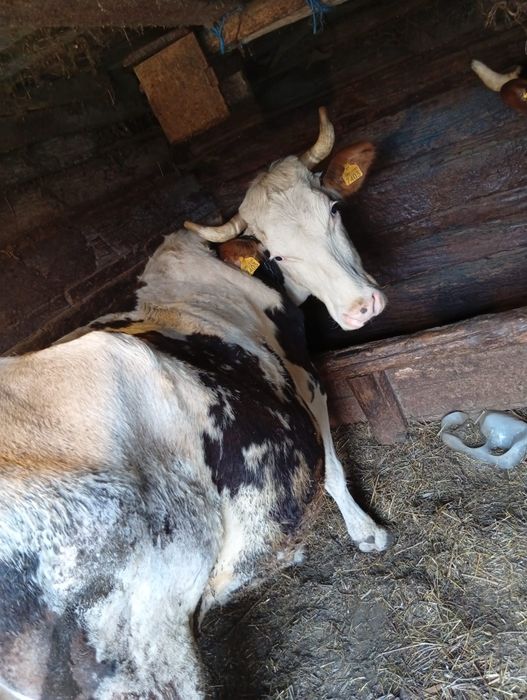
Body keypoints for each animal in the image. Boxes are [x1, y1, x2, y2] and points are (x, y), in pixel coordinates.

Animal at [0, 108, 390, 700]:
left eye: (334, 209)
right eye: (276, 253)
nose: (360, 307)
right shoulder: (303, 371)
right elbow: (333, 464)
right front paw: (366, 531)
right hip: (147, 655)